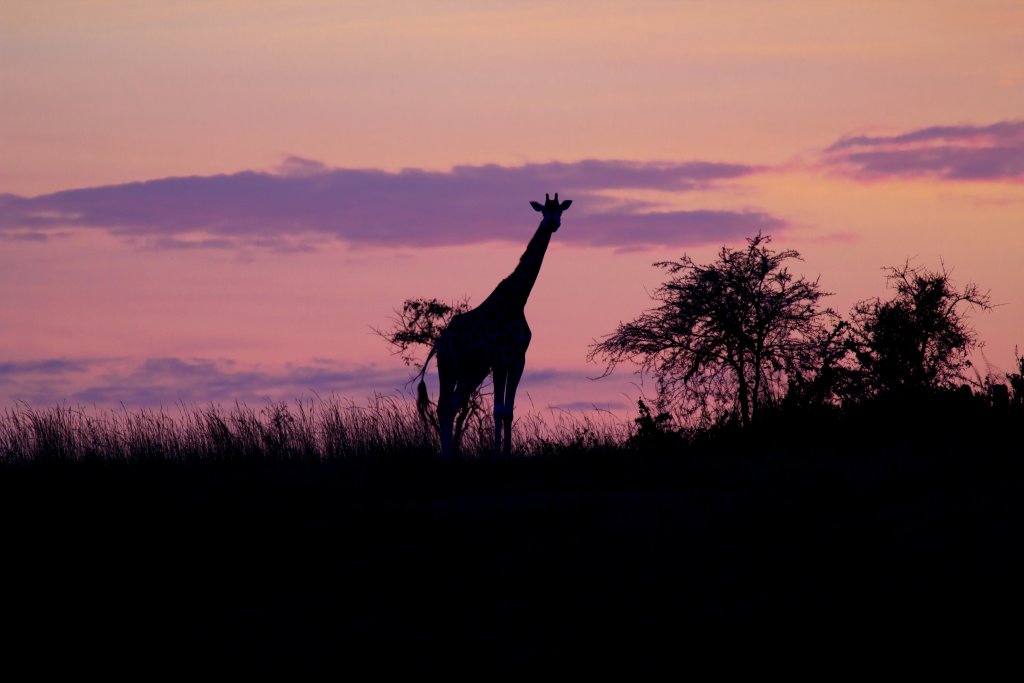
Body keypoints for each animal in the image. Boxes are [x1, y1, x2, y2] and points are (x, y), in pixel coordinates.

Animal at [416, 193, 572, 460]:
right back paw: (447, 455)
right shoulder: (500, 359)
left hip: (472, 371)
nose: (552, 223)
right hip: (449, 366)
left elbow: (508, 412)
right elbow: (498, 410)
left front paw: (506, 453)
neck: (517, 300)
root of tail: (439, 343)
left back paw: (452, 454)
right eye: (543, 211)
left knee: (452, 406)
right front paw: (497, 454)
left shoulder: (518, 359)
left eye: (560, 211)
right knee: (444, 406)